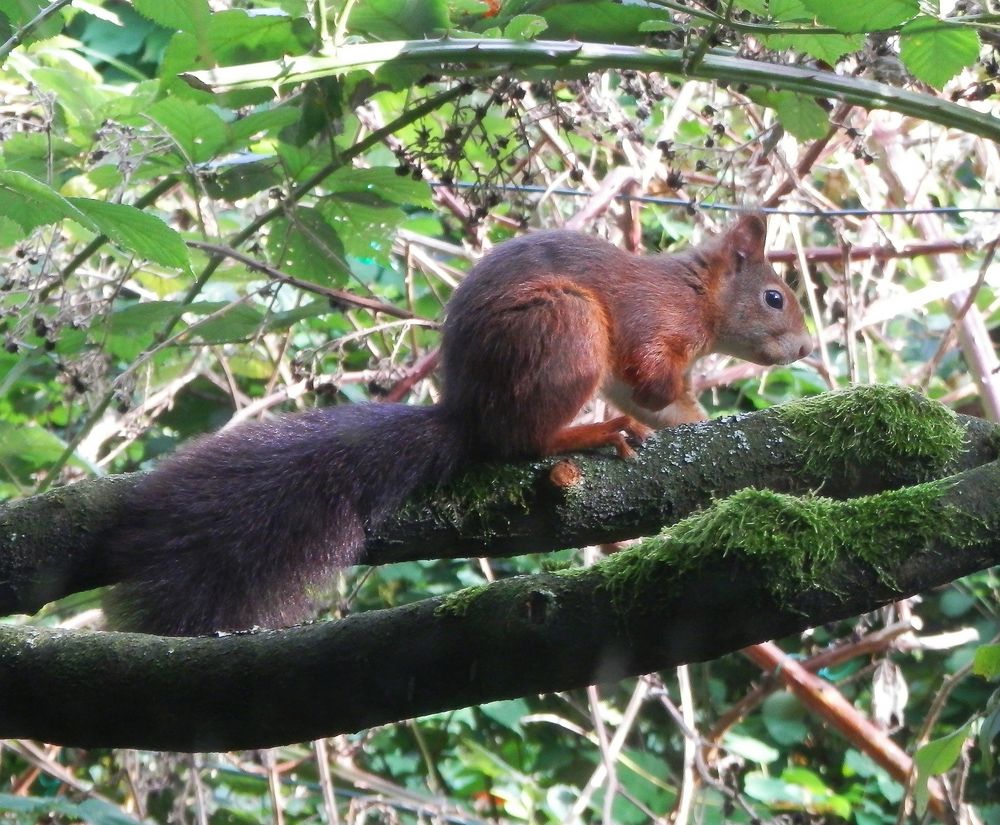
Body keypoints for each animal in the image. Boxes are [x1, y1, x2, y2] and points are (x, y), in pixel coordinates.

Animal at [101, 211, 808, 632]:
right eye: (775, 298)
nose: (805, 349)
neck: (696, 295)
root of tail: (466, 415)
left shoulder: (629, 381)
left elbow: (657, 401)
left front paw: (699, 417)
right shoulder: (652, 327)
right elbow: (655, 377)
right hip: (565, 327)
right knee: (521, 441)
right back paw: (589, 433)